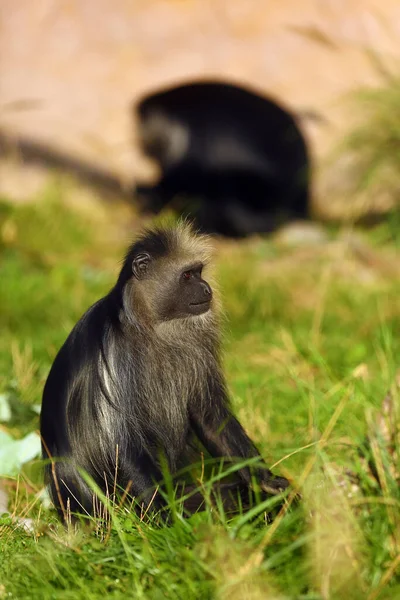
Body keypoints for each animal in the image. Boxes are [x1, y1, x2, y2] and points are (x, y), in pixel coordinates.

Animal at [40, 221, 290, 520]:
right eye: (187, 276)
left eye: (199, 272)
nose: (206, 289)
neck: (150, 325)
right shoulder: (116, 355)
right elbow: (124, 443)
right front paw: (168, 520)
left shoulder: (197, 347)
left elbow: (210, 418)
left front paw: (265, 482)